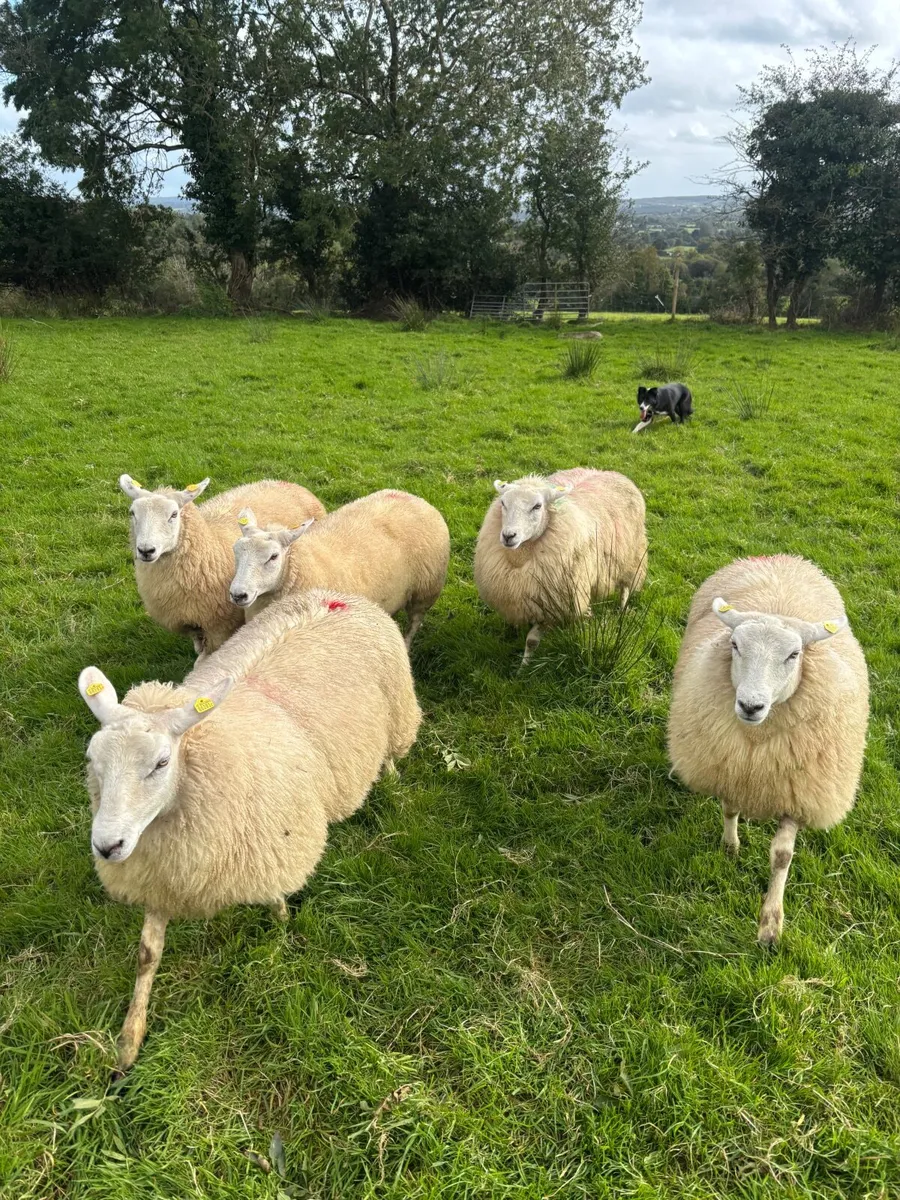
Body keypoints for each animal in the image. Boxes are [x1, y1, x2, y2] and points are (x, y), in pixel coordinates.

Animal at [78, 588, 422, 1076]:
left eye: (161, 763)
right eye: (92, 759)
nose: (108, 846)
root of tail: (336, 597)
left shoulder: (272, 843)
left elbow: (276, 898)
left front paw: (281, 925)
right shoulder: (161, 876)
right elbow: (147, 955)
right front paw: (129, 1041)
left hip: (397, 712)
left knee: (391, 752)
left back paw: (391, 780)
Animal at [119, 474, 326, 656]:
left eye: (174, 514)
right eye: (132, 513)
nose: (146, 550)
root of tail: (290, 484)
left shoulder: (220, 626)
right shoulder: (191, 622)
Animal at [229, 489, 450, 649]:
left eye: (273, 556)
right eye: (236, 550)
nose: (238, 594)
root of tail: (415, 498)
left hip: (425, 591)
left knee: (415, 622)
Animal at [473, 468, 648, 666]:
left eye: (537, 506)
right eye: (503, 503)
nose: (509, 536)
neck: (520, 558)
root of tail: (610, 472)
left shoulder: (553, 604)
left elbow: (532, 641)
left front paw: (523, 667)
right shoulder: (527, 597)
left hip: (631, 554)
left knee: (626, 585)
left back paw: (622, 609)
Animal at [667, 554, 869, 945]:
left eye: (794, 654)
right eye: (734, 645)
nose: (750, 705)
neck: (758, 744)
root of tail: (783, 557)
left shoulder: (800, 792)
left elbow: (782, 856)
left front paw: (771, 924)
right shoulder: (730, 768)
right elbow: (729, 810)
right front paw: (730, 847)